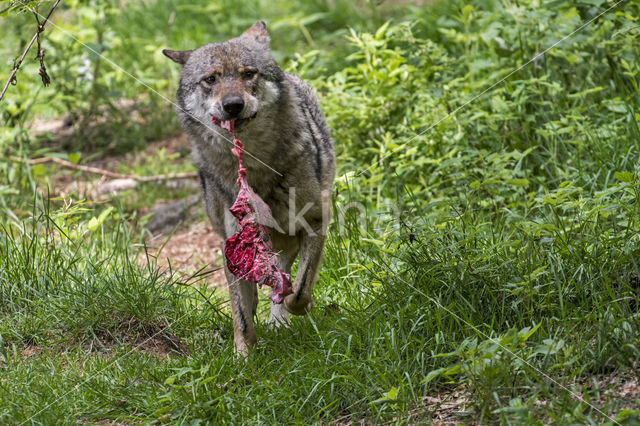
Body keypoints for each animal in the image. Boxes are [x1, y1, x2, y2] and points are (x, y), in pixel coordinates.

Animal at [164, 21, 336, 354]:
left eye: (248, 74)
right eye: (211, 79)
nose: (233, 105)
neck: (256, 169)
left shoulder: (315, 222)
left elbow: (299, 290)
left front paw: (299, 306)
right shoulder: (231, 241)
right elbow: (241, 316)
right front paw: (243, 356)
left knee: (284, 276)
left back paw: (280, 320)